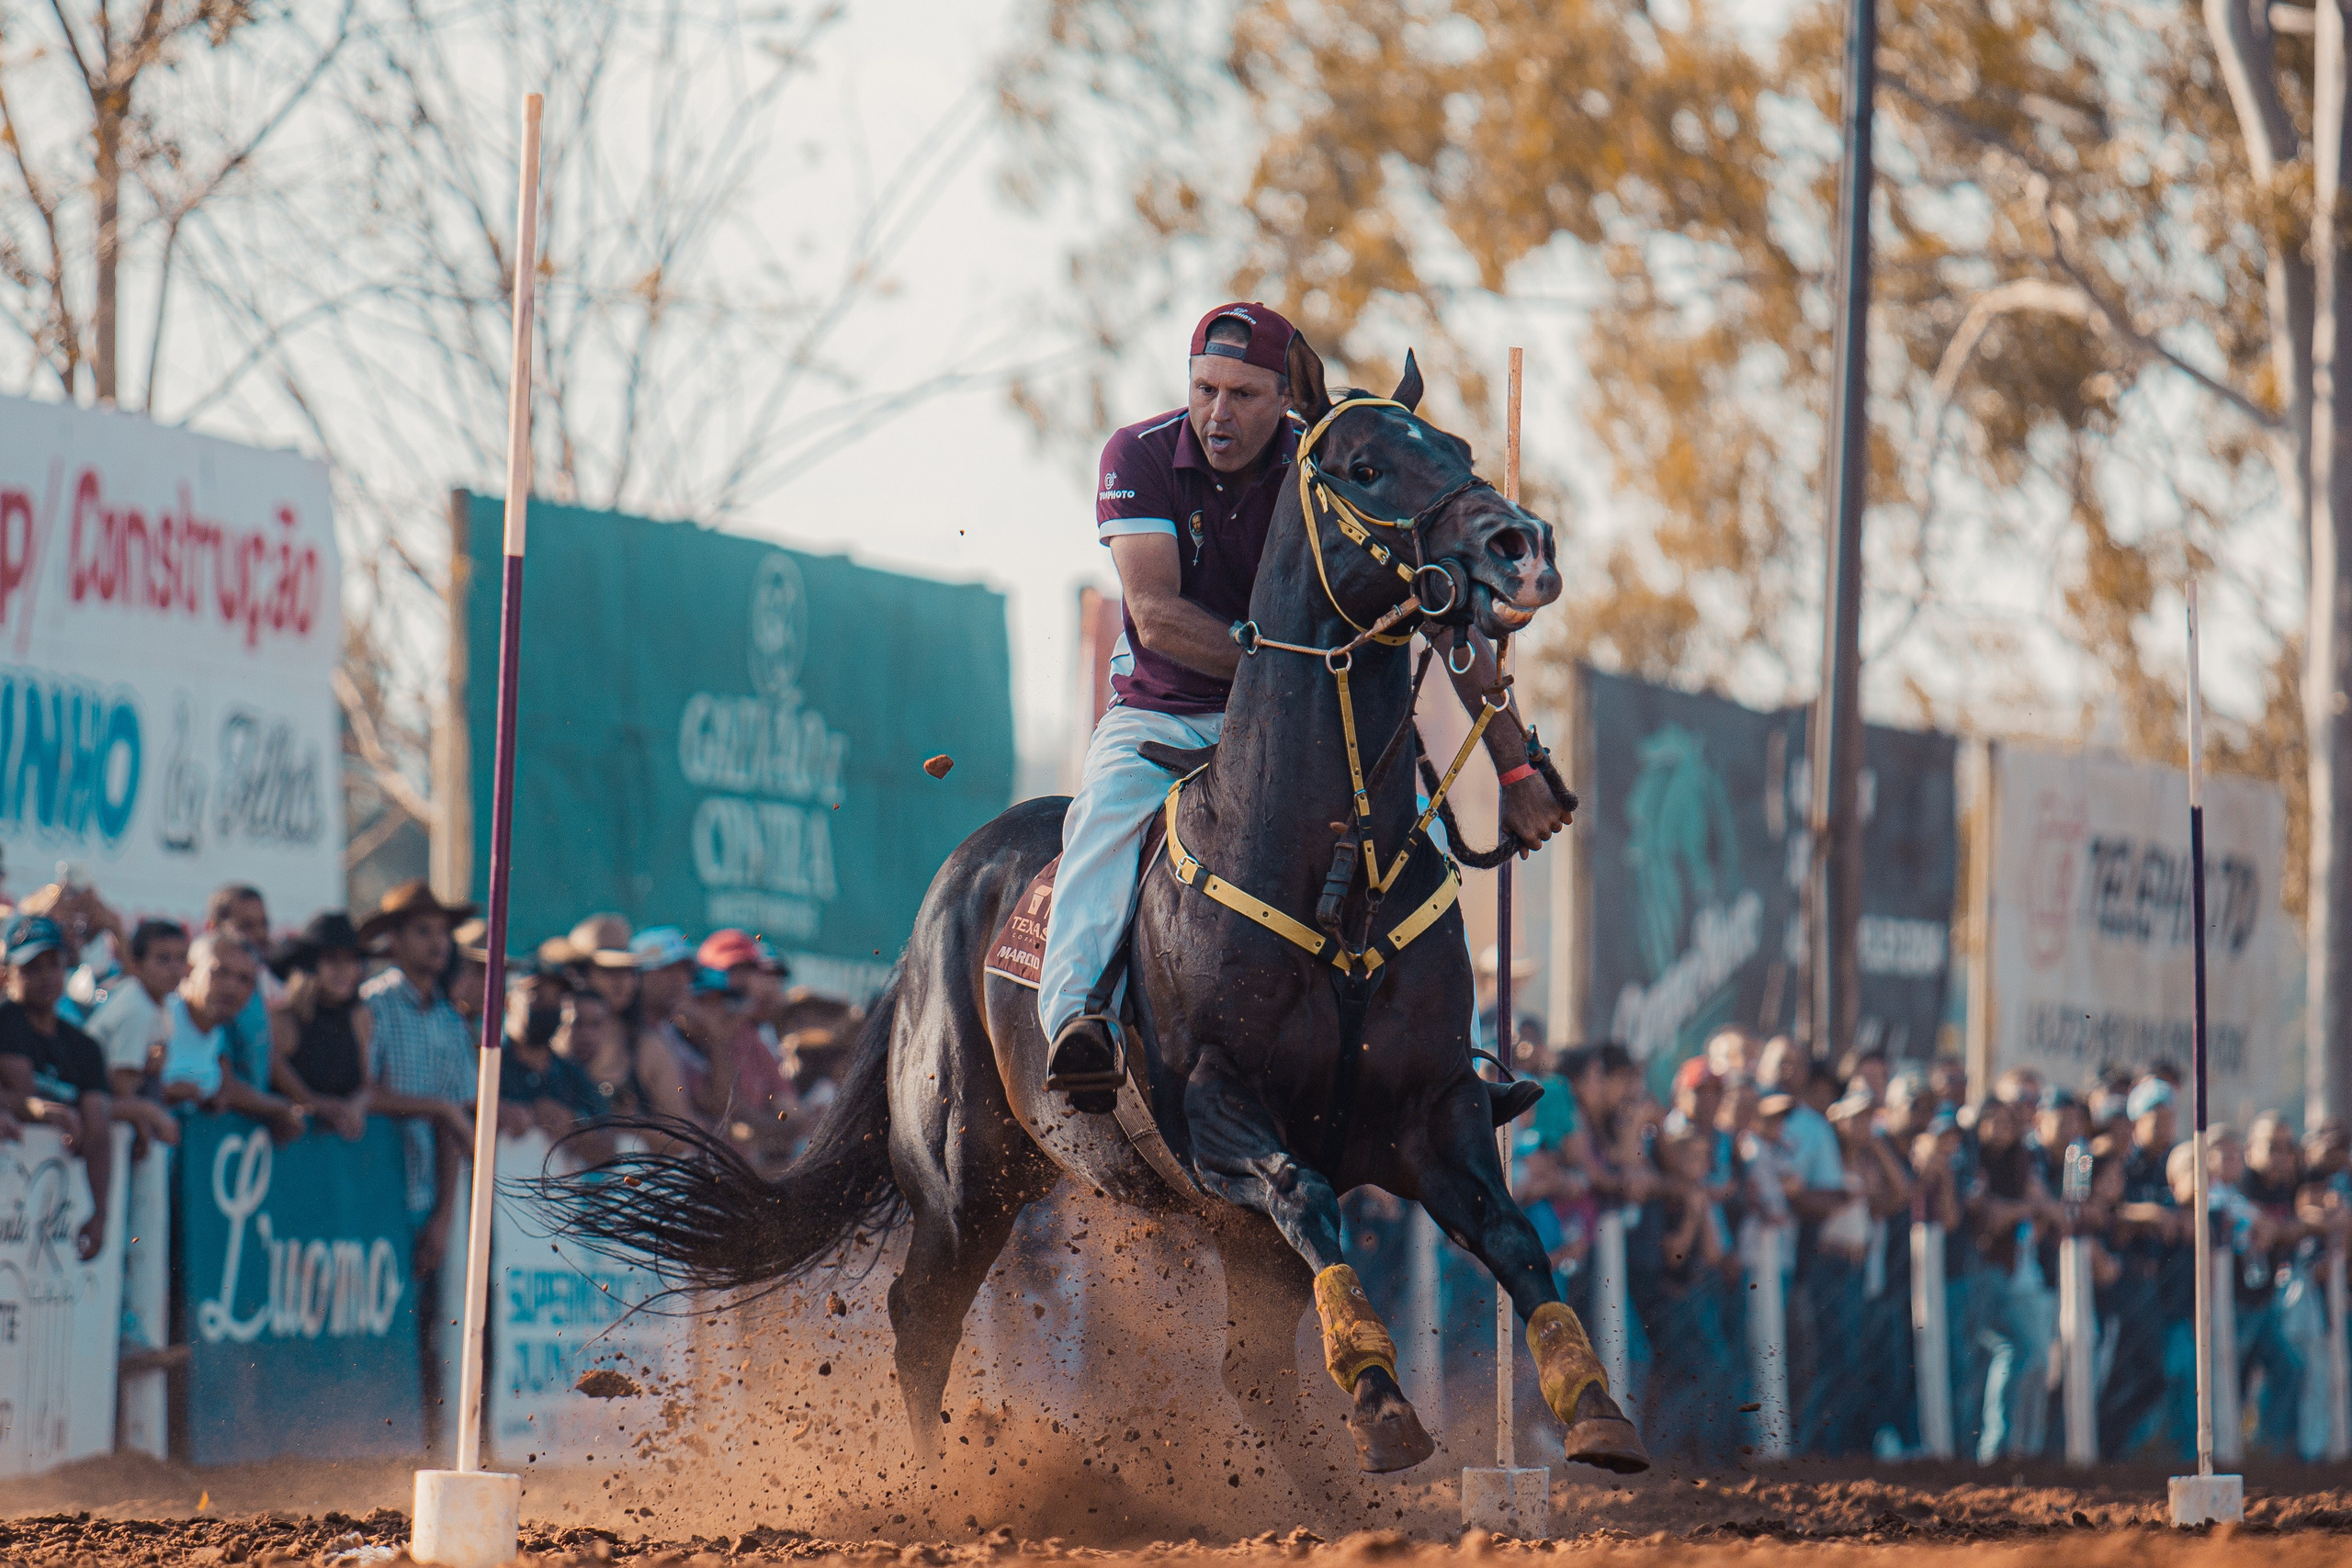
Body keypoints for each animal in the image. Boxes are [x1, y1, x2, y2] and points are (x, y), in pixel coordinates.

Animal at [544, 338, 1650, 1487]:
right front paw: (1383, 1401)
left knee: (1249, 1368)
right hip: (963, 1175)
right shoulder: (1217, 1110)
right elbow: (1305, 1190)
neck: (1327, 861)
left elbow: (1514, 1237)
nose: (1521, 545)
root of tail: (946, 896)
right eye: (1362, 466)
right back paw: (933, 1493)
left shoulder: (1434, 1109)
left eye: (1463, 451)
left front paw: (1592, 1407)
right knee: (920, 1316)